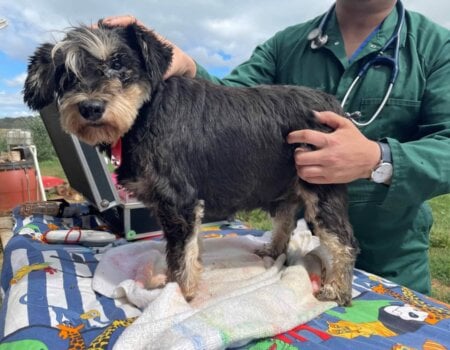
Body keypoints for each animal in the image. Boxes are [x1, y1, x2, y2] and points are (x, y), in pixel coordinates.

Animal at [23, 22, 358, 306]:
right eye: (66, 75)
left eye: (118, 63)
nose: (90, 108)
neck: (145, 114)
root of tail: (334, 106)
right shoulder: (173, 209)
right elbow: (182, 251)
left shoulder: (179, 203)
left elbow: (182, 255)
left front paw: (178, 294)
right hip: (287, 190)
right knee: (286, 221)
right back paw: (273, 251)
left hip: (322, 188)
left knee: (343, 242)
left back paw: (336, 289)